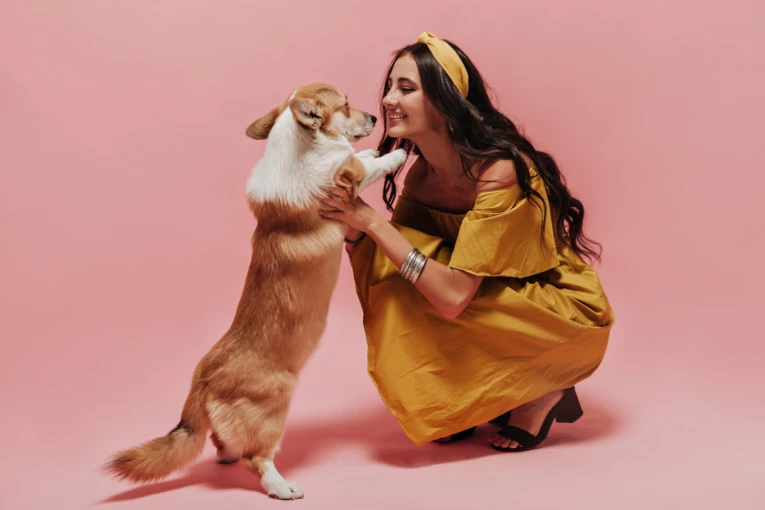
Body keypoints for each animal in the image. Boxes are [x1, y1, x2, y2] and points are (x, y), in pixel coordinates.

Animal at [103, 83, 407, 500]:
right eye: (345, 105)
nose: (377, 118)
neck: (301, 148)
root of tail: (202, 382)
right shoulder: (345, 180)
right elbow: (364, 167)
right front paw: (394, 154)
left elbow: (358, 156)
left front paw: (375, 149)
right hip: (276, 406)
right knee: (257, 458)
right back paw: (283, 487)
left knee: (222, 443)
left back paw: (228, 456)